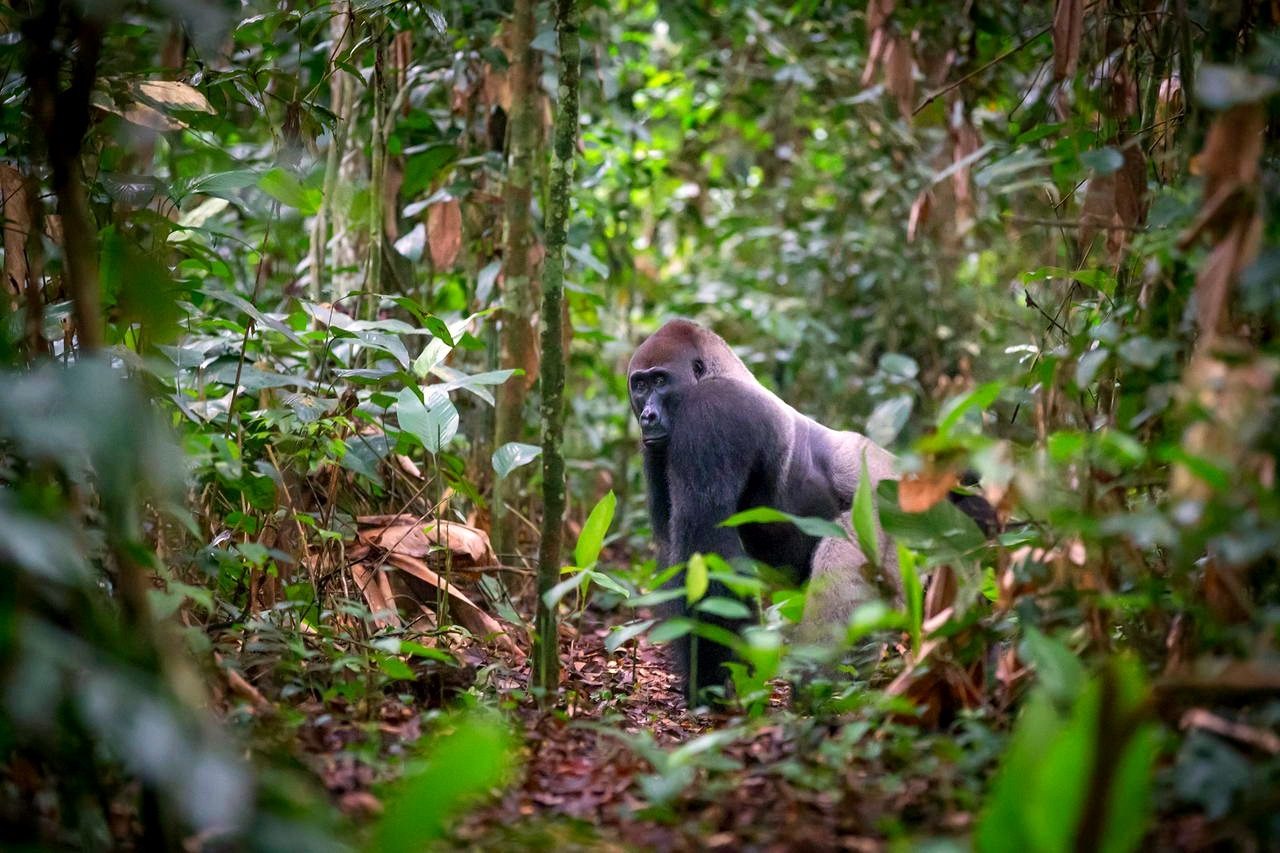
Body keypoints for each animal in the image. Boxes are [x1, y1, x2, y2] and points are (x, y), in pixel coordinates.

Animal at [629, 318, 998, 696]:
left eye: (661, 381)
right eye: (640, 385)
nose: (647, 416)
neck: (720, 372)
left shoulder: (711, 412)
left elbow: (707, 545)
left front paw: (719, 682)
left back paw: (823, 696)